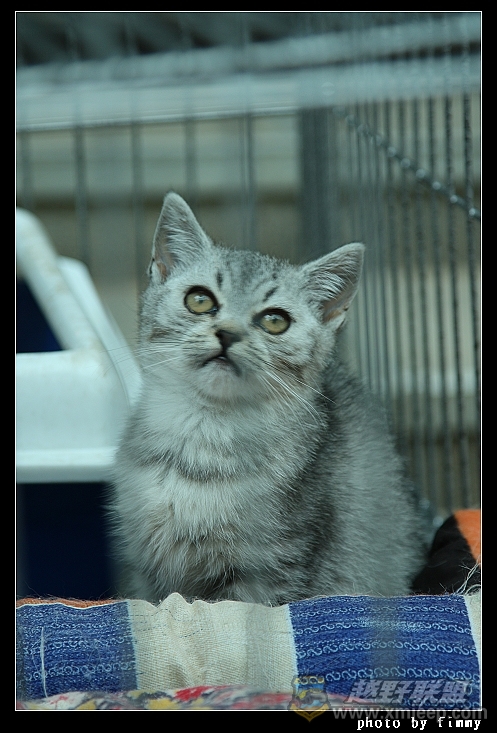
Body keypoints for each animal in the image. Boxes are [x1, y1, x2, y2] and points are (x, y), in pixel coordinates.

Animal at [110, 192, 424, 605]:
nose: (227, 333)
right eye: (199, 300)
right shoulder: (143, 567)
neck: (201, 435)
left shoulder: (275, 571)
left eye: (275, 321)